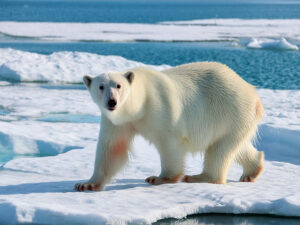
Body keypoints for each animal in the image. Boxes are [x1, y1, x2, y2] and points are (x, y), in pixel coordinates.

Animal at [74, 62, 262, 192]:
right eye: (101, 86)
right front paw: (86, 184)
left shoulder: (160, 107)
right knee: (233, 145)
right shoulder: (117, 122)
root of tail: (252, 92)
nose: (112, 102)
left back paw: (199, 177)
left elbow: (170, 143)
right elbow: (112, 148)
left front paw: (160, 178)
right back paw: (252, 171)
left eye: (118, 86)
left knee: (219, 150)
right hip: (236, 120)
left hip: (229, 109)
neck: (140, 103)